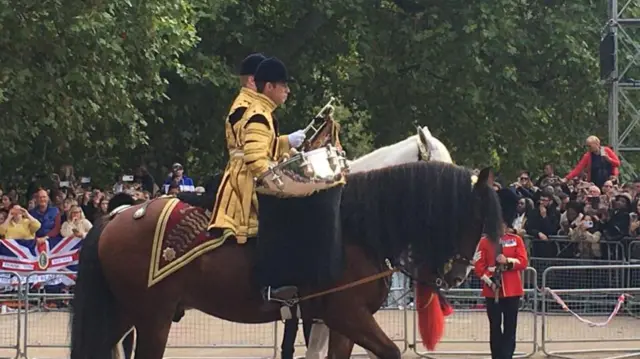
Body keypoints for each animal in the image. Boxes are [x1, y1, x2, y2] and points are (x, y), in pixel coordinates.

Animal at [69, 162, 500, 359]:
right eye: (475, 215)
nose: (460, 273)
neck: (354, 229)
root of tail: (118, 214)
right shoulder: (348, 314)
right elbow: (391, 352)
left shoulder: (338, 322)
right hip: (152, 317)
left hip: (126, 313)